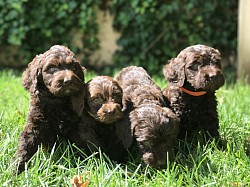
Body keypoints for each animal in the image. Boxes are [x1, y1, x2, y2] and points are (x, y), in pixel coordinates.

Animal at [14, 45, 85, 174]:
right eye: (52, 69)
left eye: (73, 67)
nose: (68, 81)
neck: (56, 101)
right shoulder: (34, 125)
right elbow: (26, 146)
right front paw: (16, 170)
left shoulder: (74, 127)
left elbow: (78, 146)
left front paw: (81, 164)